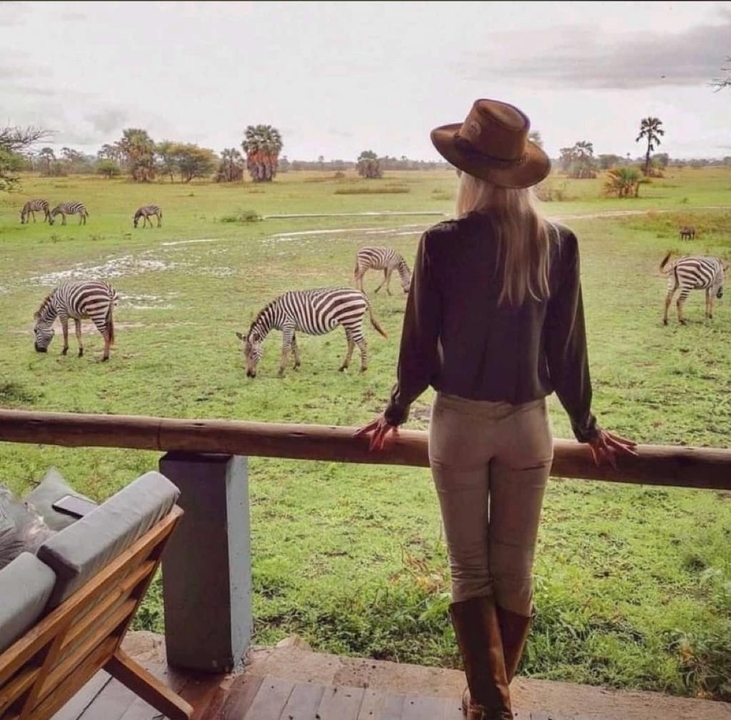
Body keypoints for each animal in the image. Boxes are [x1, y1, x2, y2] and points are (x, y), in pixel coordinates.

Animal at [236, 287, 388, 378]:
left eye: (254, 353)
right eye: (244, 354)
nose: (249, 375)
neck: (274, 315)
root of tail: (361, 294)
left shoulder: (288, 325)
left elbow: (285, 348)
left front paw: (281, 370)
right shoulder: (292, 327)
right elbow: (294, 346)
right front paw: (296, 365)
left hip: (353, 321)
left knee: (362, 343)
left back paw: (363, 369)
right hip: (348, 322)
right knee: (351, 343)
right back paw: (343, 366)